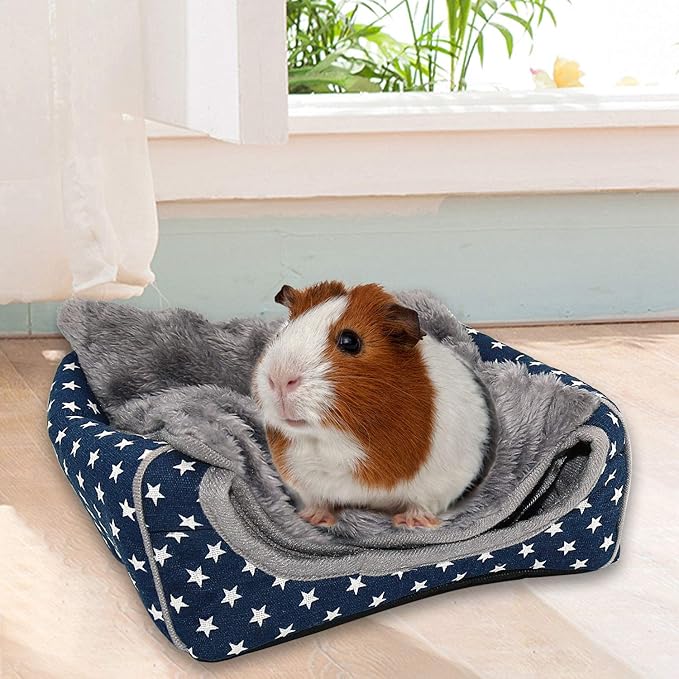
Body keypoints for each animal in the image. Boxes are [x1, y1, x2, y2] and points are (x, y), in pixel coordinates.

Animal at [252, 281, 491, 528]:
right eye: (282, 332)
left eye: (350, 341)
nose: (279, 378)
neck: (334, 442)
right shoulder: (303, 481)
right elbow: (317, 501)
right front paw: (314, 519)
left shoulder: (441, 483)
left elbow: (422, 503)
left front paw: (411, 522)